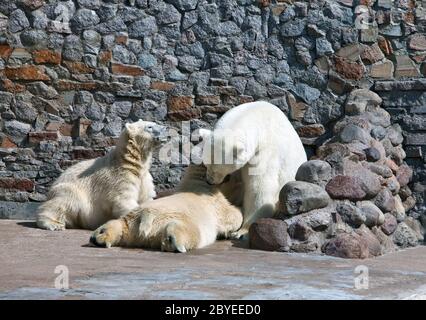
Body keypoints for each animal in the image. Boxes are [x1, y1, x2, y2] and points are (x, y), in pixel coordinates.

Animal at [36, 119, 166, 230]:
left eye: (154, 123)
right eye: (149, 127)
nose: (165, 128)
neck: (130, 162)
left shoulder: (143, 179)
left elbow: (146, 199)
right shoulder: (120, 178)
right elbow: (124, 200)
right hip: (69, 189)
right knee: (63, 202)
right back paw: (53, 224)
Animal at [89, 165, 243, 252]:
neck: (197, 182)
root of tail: (146, 217)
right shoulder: (215, 202)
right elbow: (232, 215)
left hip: (132, 219)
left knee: (119, 224)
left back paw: (99, 236)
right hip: (176, 218)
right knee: (190, 231)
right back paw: (174, 242)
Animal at [200, 101, 306, 239]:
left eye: (217, 170)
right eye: (206, 164)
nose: (209, 181)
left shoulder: (265, 151)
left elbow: (259, 187)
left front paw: (241, 232)